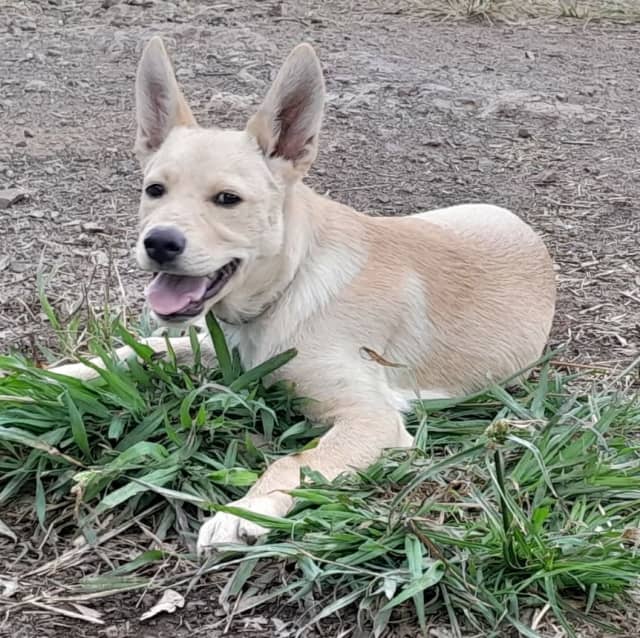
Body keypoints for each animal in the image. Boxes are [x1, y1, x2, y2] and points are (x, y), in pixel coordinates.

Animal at [51, 38, 556, 556]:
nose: (159, 243)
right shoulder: (229, 350)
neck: (292, 282)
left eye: (228, 199)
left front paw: (244, 512)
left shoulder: (372, 417)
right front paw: (61, 373)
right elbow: (143, 349)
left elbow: (294, 462)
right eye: (154, 190)